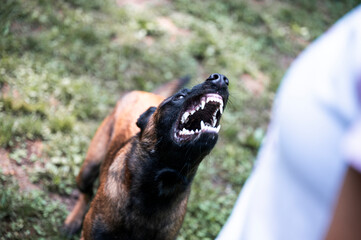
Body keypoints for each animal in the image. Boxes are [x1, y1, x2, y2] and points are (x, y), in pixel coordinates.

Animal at [62, 73, 228, 240]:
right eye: (179, 96)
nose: (220, 78)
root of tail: (146, 93)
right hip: (89, 168)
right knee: (86, 192)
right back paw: (74, 220)